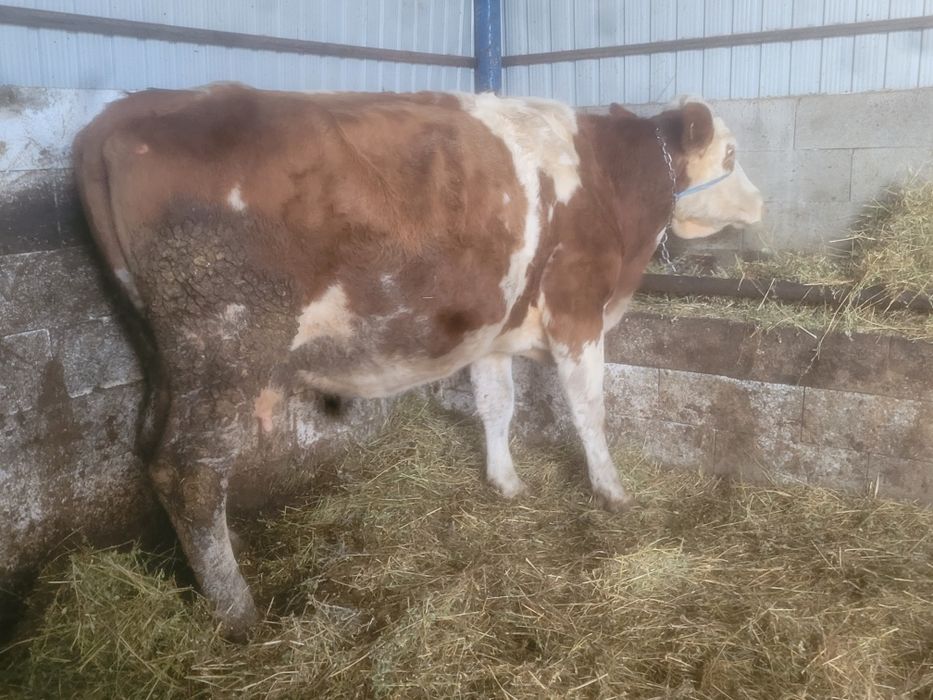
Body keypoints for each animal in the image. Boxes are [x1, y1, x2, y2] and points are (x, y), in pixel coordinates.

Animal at [73, 84, 762, 639]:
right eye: (731, 155)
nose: (761, 204)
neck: (607, 180)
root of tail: (125, 111)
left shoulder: (494, 330)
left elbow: (497, 405)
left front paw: (505, 481)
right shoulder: (577, 306)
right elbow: (588, 407)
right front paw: (612, 492)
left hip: (166, 352)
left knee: (151, 445)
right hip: (224, 336)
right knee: (190, 471)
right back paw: (237, 609)